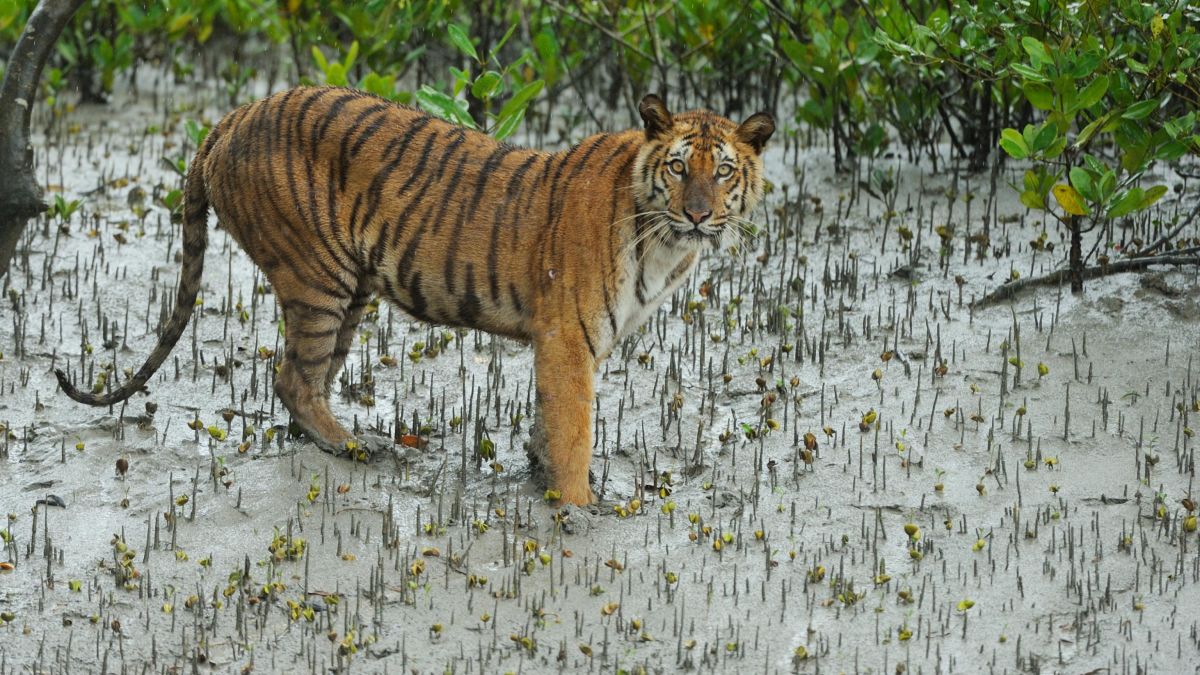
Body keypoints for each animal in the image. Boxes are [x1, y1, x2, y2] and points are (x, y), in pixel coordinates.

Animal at [56, 85, 772, 504]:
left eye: (723, 170)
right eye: (678, 166)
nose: (700, 215)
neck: (665, 242)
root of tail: (233, 115)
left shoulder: (571, 345)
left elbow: (548, 425)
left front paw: (540, 473)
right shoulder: (568, 339)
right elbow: (574, 433)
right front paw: (575, 511)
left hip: (349, 292)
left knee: (305, 380)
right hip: (319, 279)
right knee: (292, 378)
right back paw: (354, 447)